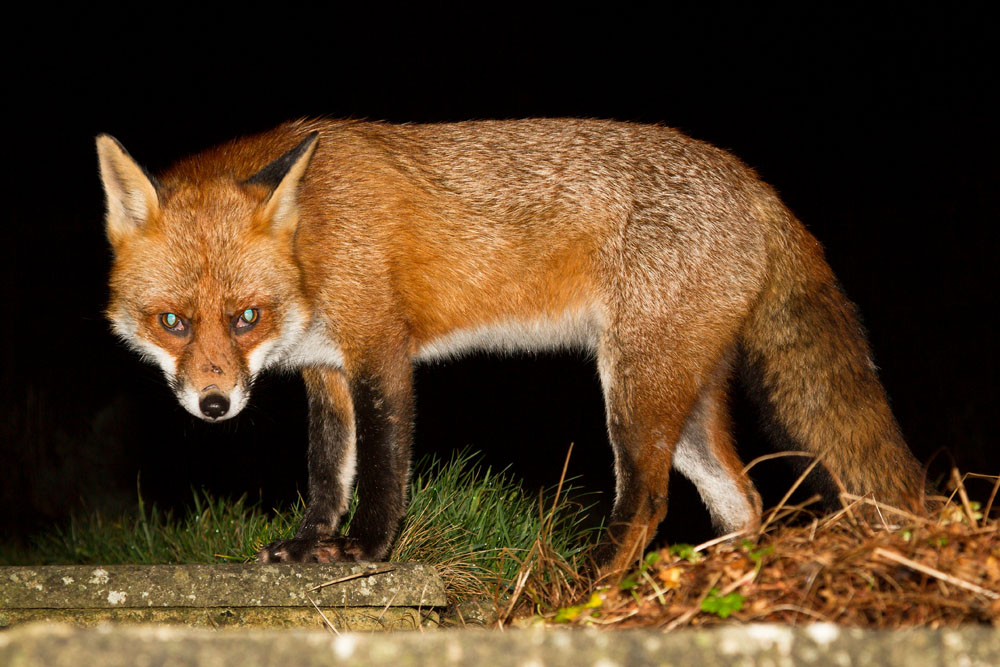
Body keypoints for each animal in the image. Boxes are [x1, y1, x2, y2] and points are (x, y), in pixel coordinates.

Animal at [96, 118, 926, 573]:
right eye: (172, 321)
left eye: (245, 316)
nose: (214, 403)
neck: (318, 240)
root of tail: (757, 184)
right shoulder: (324, 369)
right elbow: (327, 472)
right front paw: (309, 544)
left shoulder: (379, 350)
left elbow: (384, 469)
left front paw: (366, 550)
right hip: (681, 397)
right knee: (744, 499)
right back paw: (711, 573)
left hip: (635, 386)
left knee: (650, 499)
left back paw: (588, 583)